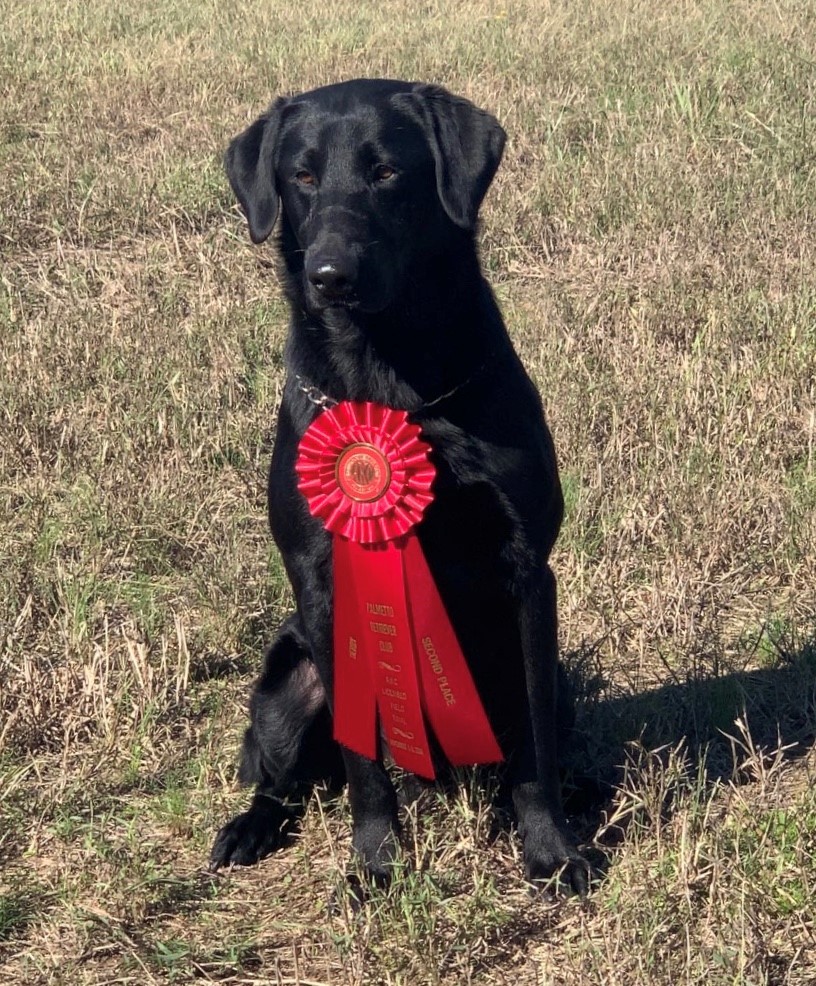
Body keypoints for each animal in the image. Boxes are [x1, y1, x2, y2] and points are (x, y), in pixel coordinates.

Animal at [212, 79, 588, 892]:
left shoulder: (526, 576)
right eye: (303, 176)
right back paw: (250, 828)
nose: (329, 276)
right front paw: (376, 860)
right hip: (287, 684)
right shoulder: (322, 584)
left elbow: (534, 747)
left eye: (387, 172)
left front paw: (551, 850)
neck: (393, 385)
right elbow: (363, 767)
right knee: (283, 779)